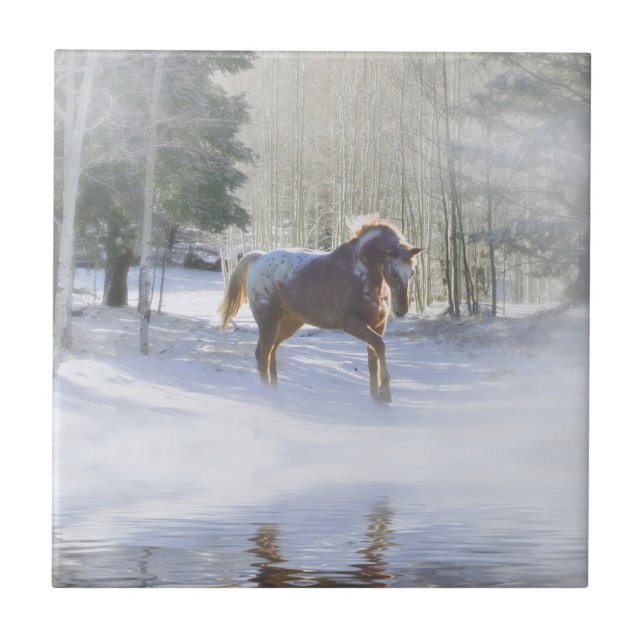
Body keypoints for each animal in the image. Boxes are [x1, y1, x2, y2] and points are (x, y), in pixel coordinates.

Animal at [219, 219, 423, 403]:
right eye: (394, 273)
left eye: (412, 272)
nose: (401, 310)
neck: (361, 274)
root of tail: (260, 258)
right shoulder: (352, 323)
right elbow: (380, 345)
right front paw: (385, 394)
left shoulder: (378, 324)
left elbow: (373, 361)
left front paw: (376, 398)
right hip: (268, 321)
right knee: (263, 355)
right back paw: (267, 394)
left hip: (288, 323)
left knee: (270, 353)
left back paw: (275, 391)